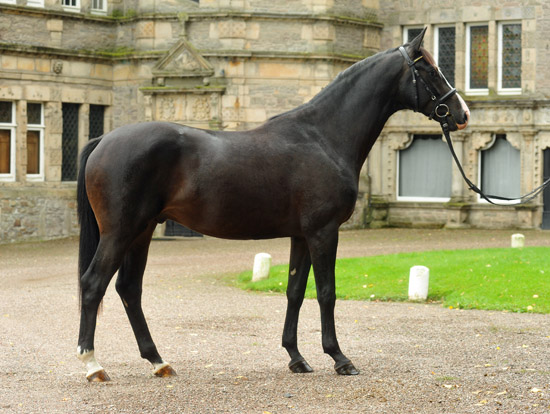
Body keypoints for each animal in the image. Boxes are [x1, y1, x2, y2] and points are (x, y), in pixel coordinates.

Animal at [76, 28, 470, 382]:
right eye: (429, 69)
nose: (462, 113)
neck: (322, 137)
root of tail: (103, 140)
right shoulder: (324, 232)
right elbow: (326, 293)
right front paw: (340, 359)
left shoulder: (302, 235)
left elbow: (294, 292)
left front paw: (296, 358)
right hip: (121, 232)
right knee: (93, 284)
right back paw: (93, 365)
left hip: (141, 232)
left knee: (129, 288)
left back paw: (159, 362)